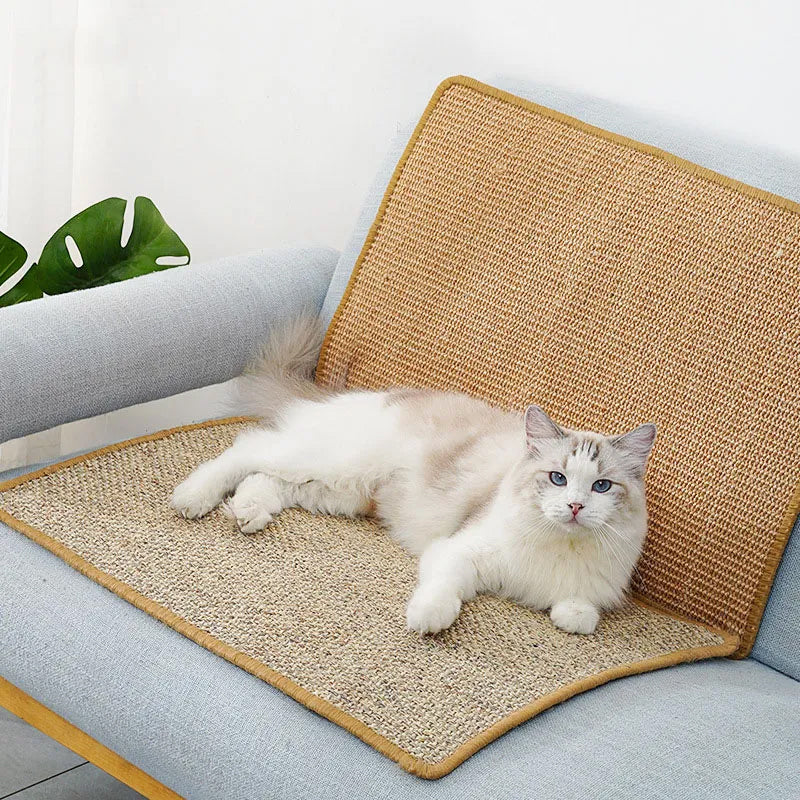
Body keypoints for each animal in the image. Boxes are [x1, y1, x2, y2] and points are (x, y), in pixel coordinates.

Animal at [172, 318, 652, 636]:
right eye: (557, 478)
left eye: (602, 486)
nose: (575, 506)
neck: (559, 547)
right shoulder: (460, 551)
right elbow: (443, 592)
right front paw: (427, 621)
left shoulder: (588, 595)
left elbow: (578, 615)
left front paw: (566, 616)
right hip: (329, 462)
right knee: (247, 449)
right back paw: (191, 498)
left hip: (337, 491)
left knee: (264, 480)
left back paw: (248, 514)